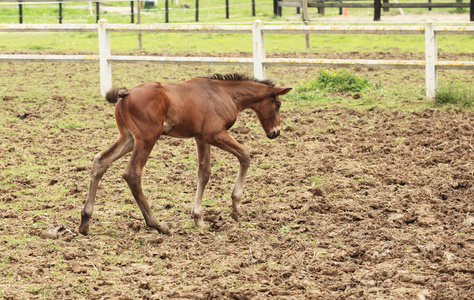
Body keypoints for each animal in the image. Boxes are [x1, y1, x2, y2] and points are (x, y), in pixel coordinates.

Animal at [79, 74, 290, 236]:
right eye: (278, 104)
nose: (275, 132)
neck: (225, 93)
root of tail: (126, 94)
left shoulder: (201, 138)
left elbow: (204, 173)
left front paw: (198, 218)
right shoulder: (214, 134)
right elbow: (245, 155)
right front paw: (236, 208)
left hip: (128, 138)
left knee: (100, 161)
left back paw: (85, 221)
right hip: (147, 138)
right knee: (132, 173)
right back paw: (158, 224)